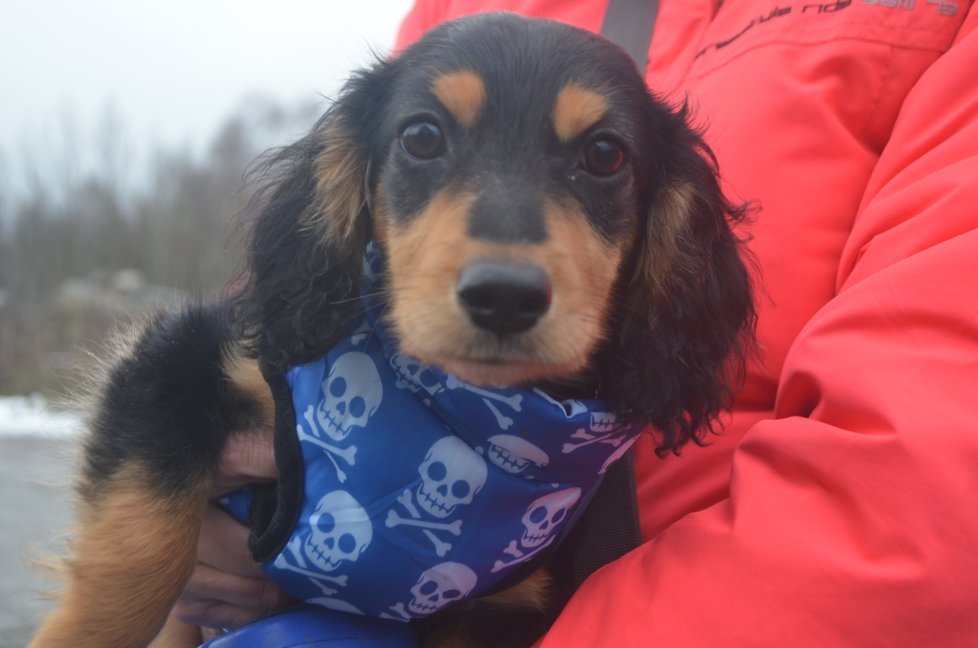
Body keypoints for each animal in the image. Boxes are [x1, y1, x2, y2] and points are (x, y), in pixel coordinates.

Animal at [28, 11, 748, 648]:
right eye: (422, 137)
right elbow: (137, 564)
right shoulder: (179, 360)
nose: (504, 298)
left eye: (605, 154)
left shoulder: (498, 613)